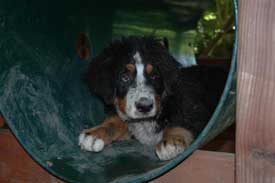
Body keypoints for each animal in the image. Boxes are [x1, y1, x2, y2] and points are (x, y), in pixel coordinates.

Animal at [78, 35, 229, 160]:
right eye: (124, 77)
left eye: (155, 76)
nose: (145, 107)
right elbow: (117, 121)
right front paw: (95, 133)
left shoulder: (194, 108)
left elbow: (181, 120)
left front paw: (171, 141)